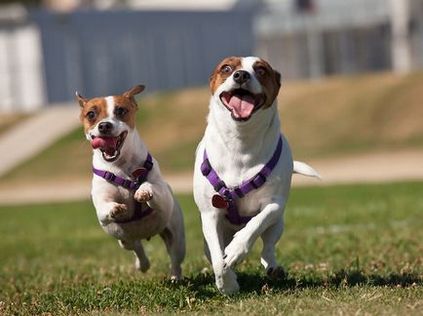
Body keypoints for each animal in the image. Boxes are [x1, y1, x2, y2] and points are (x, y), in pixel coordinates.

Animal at [77, 85, 186, 280]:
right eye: (91, 114)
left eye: (121, 111)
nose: (104, 125)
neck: (121, 168)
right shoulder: (101, 208)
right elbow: (105, 207)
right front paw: (115, 208)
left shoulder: (164, 198)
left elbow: (151, 186)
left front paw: (143, 191)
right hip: (124, 239)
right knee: (137, 248)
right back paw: (142, 264)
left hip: (176, 237)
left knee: (175, 258)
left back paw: (175, 277)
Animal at [194, 56, 320, 294]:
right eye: (226, 68)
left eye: (261, 70)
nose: (241, 75)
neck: (241, 141)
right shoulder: (210, 214)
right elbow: (218, 260)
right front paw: (228, 284)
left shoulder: (275, 204)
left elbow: (255, 224)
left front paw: (236, 249)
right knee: (213, 251)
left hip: (278, 225)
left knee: (268, 246)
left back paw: (272, 267)